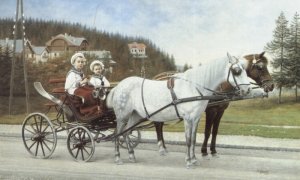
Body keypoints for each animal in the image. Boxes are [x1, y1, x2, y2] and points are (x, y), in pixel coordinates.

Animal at [106, 52, 252, 168]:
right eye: (237, 71)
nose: (248, 90)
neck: (193, 87)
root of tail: (118, 86)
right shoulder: (188, 118)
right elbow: (188, 139)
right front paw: (188, 161)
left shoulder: (196, 118)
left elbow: (193, 139)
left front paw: (194, 160)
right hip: (122, 116)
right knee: (117, 133)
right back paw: (118, 157)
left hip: (135, 115)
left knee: (126, 133)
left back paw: (131, 155)